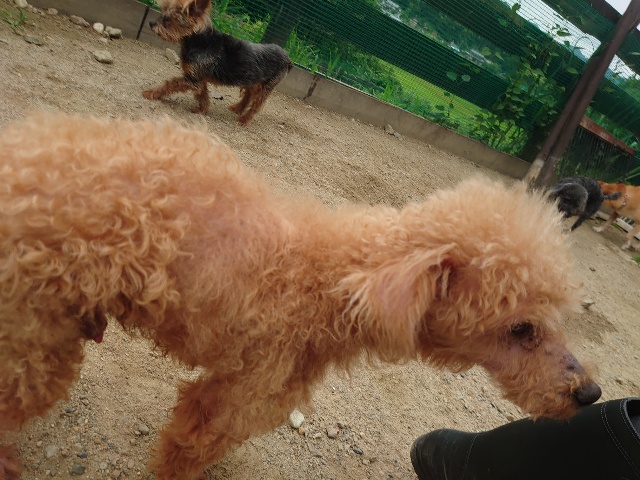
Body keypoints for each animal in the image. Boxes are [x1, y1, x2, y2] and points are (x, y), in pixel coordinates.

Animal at [0, 114, 601, 480]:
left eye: (559, 318)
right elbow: (188, 449)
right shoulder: (235, 396)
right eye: (521, 329)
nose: (591, 394)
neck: (330, 288)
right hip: (36, 347)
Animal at [142, 0, 293, 125]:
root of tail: (288, 58)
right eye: (162, 12)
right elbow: (202, 95)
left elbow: (169, 84)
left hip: (264, 87)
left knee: (256, 105)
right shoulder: (198, 79)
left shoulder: (192, 79)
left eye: (167, 19)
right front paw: (202, 109)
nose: (150, 23)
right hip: (252, 80)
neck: (198, 40)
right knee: (248, 95)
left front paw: (151, 92)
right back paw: (237, 108)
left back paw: (244, 119)